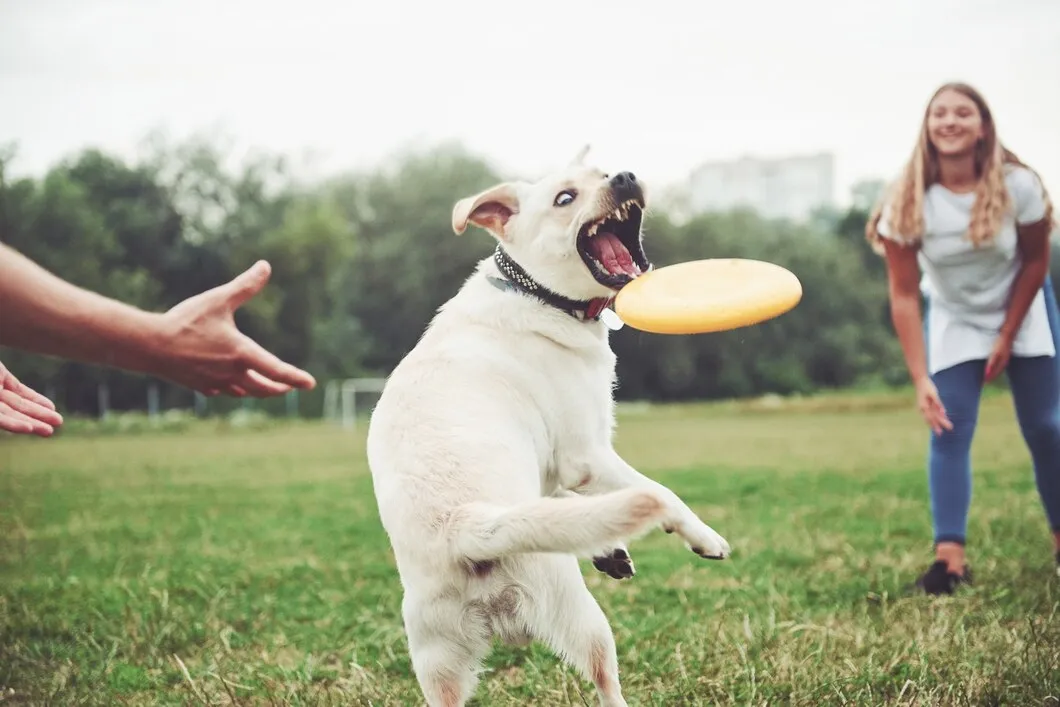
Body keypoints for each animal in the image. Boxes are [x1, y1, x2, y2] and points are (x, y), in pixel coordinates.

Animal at [364, 146, 729, 703]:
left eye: (604, 173)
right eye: (564, 198)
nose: (625, 177)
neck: (536, 293)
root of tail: (465, 527)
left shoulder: (553, 467)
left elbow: (563, 501)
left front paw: (608, 548)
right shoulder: (586, 456)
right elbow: (661, 494)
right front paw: (703, 537)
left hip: (436, 660)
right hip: (577, 613)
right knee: (605, 679)